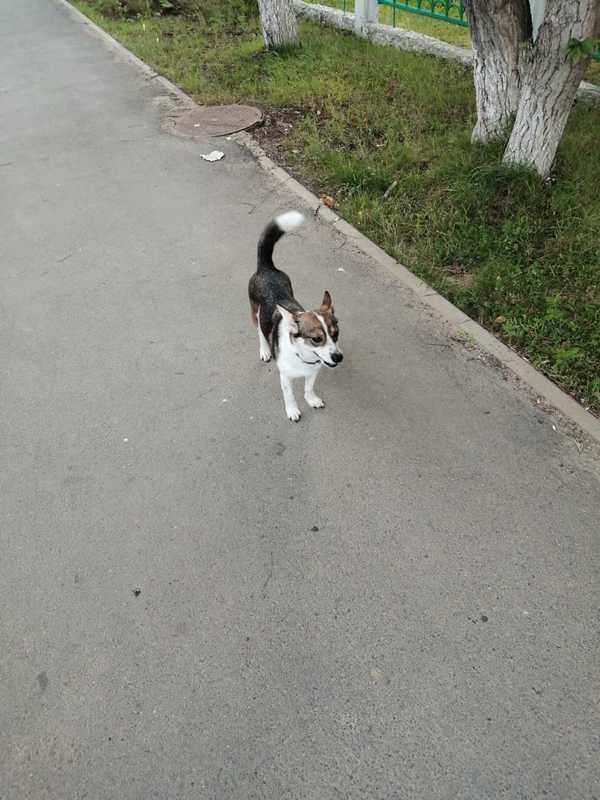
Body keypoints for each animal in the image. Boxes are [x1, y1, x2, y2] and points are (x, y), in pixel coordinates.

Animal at [248, 211, 343, 422]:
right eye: (317, 339)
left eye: (336, 334)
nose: (338, 357)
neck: (303, 357)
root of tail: (267, 267)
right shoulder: (285, 378)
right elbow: (290, 396)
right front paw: (292, 410)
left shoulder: (314, 371)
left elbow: (309, 388)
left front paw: (311, 399)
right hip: (254, 313)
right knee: (260, 332)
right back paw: (265, 350)